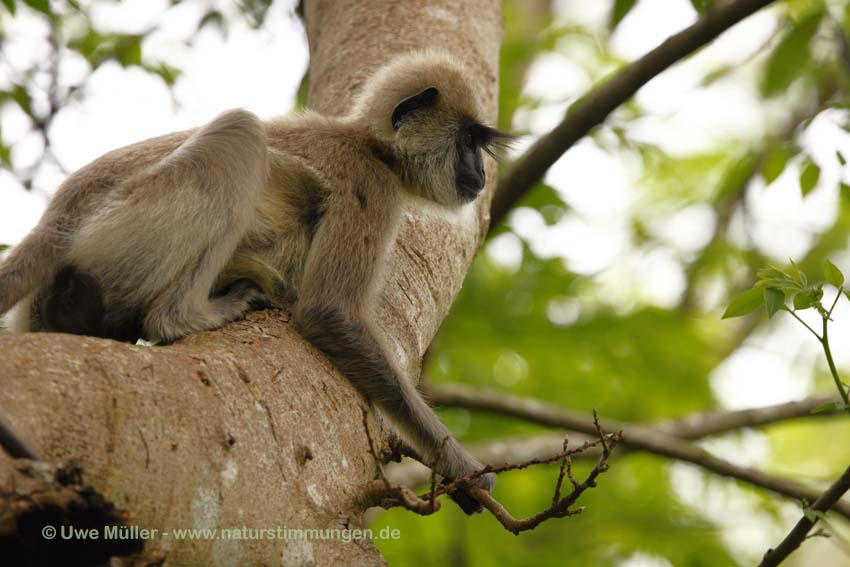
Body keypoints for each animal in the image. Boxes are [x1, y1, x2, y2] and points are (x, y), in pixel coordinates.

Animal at [0, 51, 506, 516]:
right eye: (468, 141)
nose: (481, 174)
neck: (369, 144)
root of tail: (58, 221)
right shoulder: (371, 186)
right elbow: (327, 313)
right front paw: (463, 468)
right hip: (126, 221)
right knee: (240, 131)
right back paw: (184, 317)